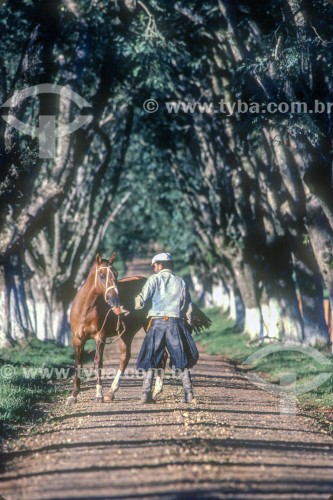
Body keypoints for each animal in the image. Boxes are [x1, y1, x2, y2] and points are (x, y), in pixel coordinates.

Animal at [67, 254, 210, 406]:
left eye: (116, 274)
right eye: (101, 275)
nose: (115, 300)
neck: (86, 310)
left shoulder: (100, 337)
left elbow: (98, 362)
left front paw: (99, 394)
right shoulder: (77, 340)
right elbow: (78, 363)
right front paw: (73, 395)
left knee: (155, 356)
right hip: (126, 334)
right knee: (128, 357)